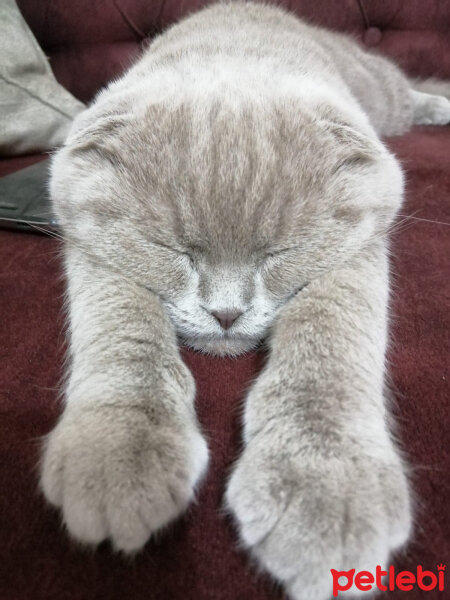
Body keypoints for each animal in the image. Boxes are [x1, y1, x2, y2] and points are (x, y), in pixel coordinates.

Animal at [39, 2, 450, 596]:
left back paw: (441, 107)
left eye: (278, 254)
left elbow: (332, 332)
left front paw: (324, 486)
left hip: (380, 90)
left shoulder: (362, 244)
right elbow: (120, 324)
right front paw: (117, 453)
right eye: (176, 251)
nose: (226, 313)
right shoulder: (87, 240)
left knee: (408, 91)